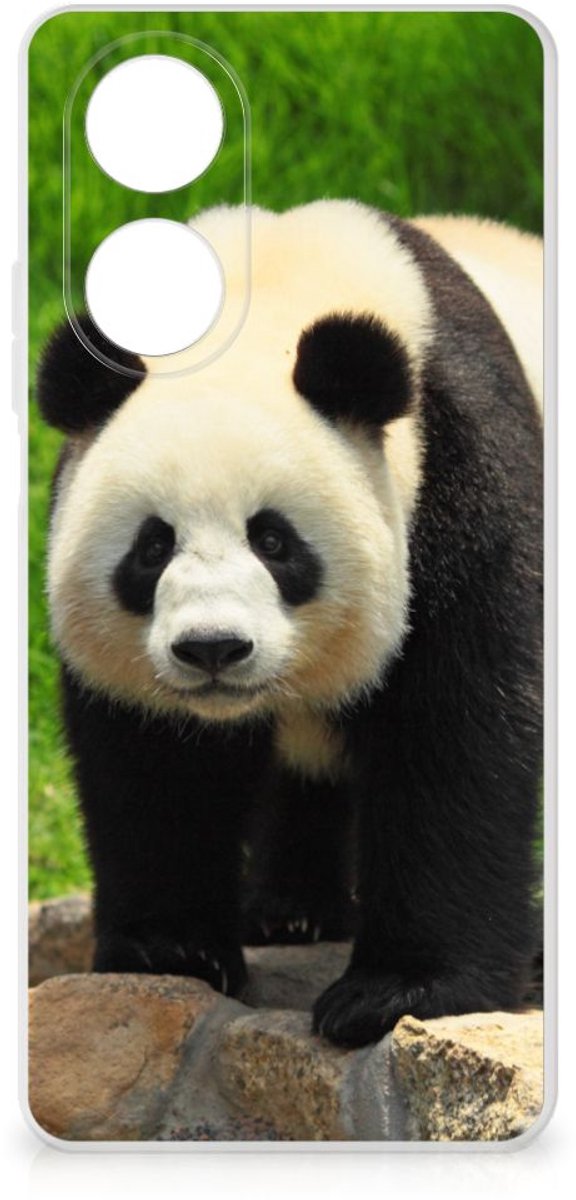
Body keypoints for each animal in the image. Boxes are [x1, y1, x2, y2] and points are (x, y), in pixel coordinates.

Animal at [37, 202, 543, 1048]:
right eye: (152, 546)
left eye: (274, 541)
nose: (212, 649)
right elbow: (154, 762)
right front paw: (171, 950)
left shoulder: (464, 474)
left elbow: (460, 730)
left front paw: (397, 991)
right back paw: (291, 912)